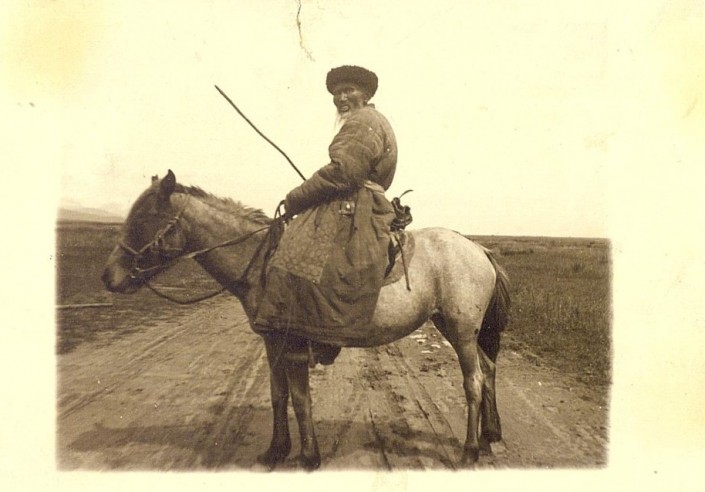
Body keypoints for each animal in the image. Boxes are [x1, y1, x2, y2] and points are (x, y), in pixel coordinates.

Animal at [102, 170, 511, 470]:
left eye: (146, 218)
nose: (108, 276)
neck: (263, 261)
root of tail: (479, 248)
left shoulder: (295, 345)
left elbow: (300, 398)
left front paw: (308, 456)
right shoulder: (272, 343)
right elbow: (278, 395)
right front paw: (276, 449)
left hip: (460, 330)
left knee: (473, 382)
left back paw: (470, 449)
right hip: (456, 327)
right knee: (489, 370)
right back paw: (490, 436)